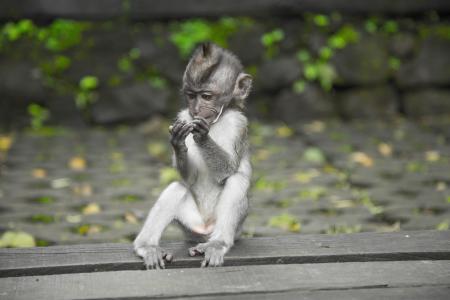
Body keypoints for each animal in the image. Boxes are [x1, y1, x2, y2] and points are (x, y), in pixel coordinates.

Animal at [134, 41, 253, 268]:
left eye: (206, 96)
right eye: (190, 96)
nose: (196, 109)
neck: (217, 121)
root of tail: (206, 229)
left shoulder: (239, 123)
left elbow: (228, 170)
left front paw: (202, 136)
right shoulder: (183, 115)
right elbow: (188, 178)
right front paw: (178, 143)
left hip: (237, 228)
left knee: (237, 181)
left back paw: (217, 244)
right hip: (190, 225)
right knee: (176, 187)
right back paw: (147, 247)